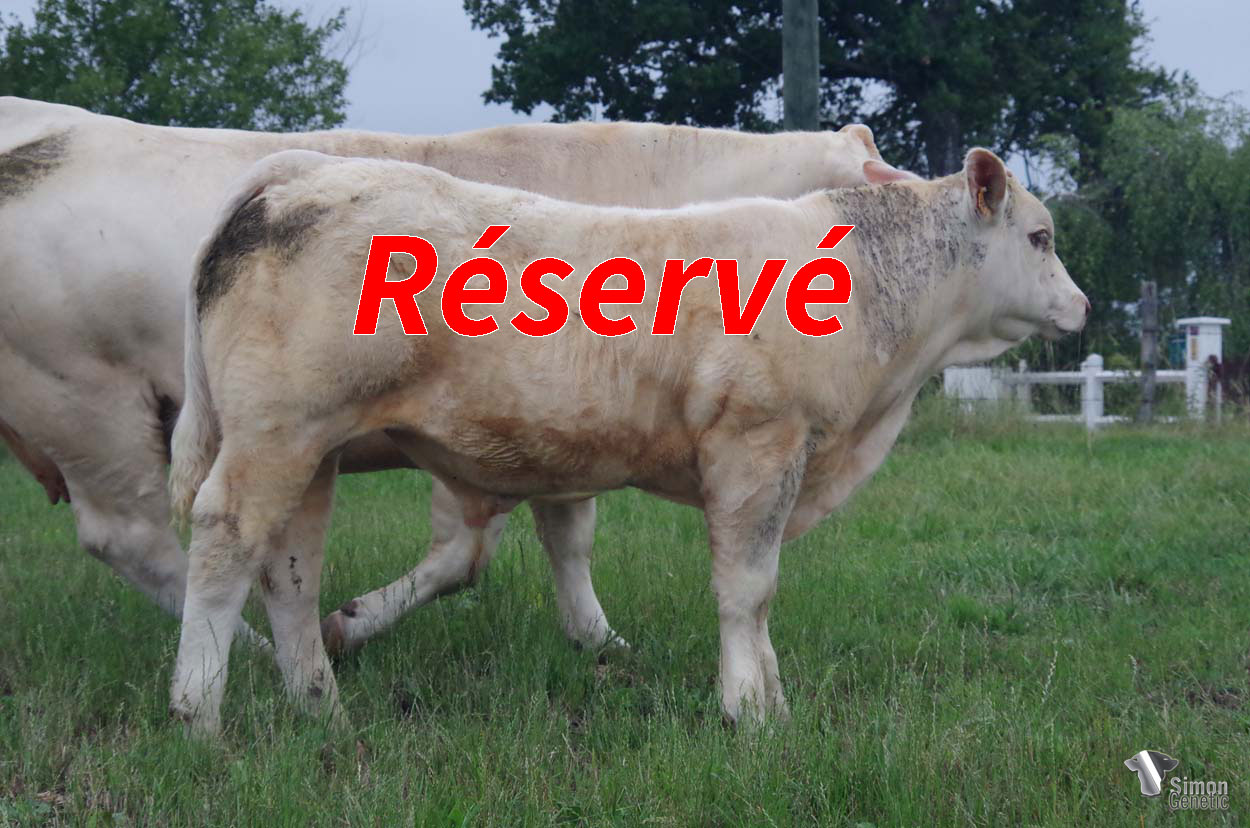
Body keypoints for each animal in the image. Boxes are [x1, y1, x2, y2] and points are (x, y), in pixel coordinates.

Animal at [0, 96, 903, 655]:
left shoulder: (573, 428)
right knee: (135, 537)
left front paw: (599, 641)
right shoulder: (482, 423)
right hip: (90, 407)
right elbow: (464, 552)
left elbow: (567, 538)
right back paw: (255, 648)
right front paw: (349, 625)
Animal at [167, 147, 1089, 735]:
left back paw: (321, 705)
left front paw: (766, 696)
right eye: (1040, 237)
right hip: (274, 434)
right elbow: (747, 587)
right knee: (227, 540)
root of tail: (302, 170)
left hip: (309, 449)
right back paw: (198, 713)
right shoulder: (758, 446)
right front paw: (752, 709)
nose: (1081, 307)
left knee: (289, 570)